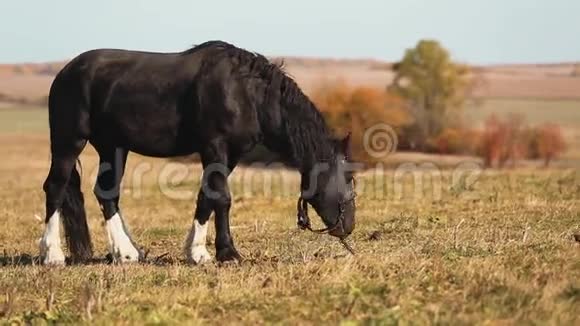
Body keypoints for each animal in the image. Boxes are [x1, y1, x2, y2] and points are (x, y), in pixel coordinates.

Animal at [38, 40, 356, 264]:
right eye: (349, 180)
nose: (348, 227)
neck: (245, 93)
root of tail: (66, 71)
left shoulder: (230, 155)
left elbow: (207, 197)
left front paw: (196, 251)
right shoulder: (215, 147)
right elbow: (222, 198)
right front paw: (226, 253)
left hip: (113, 147)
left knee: (106, 193)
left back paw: (126, 253)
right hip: (69, 142)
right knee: (56, 187)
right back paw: (52, 255)